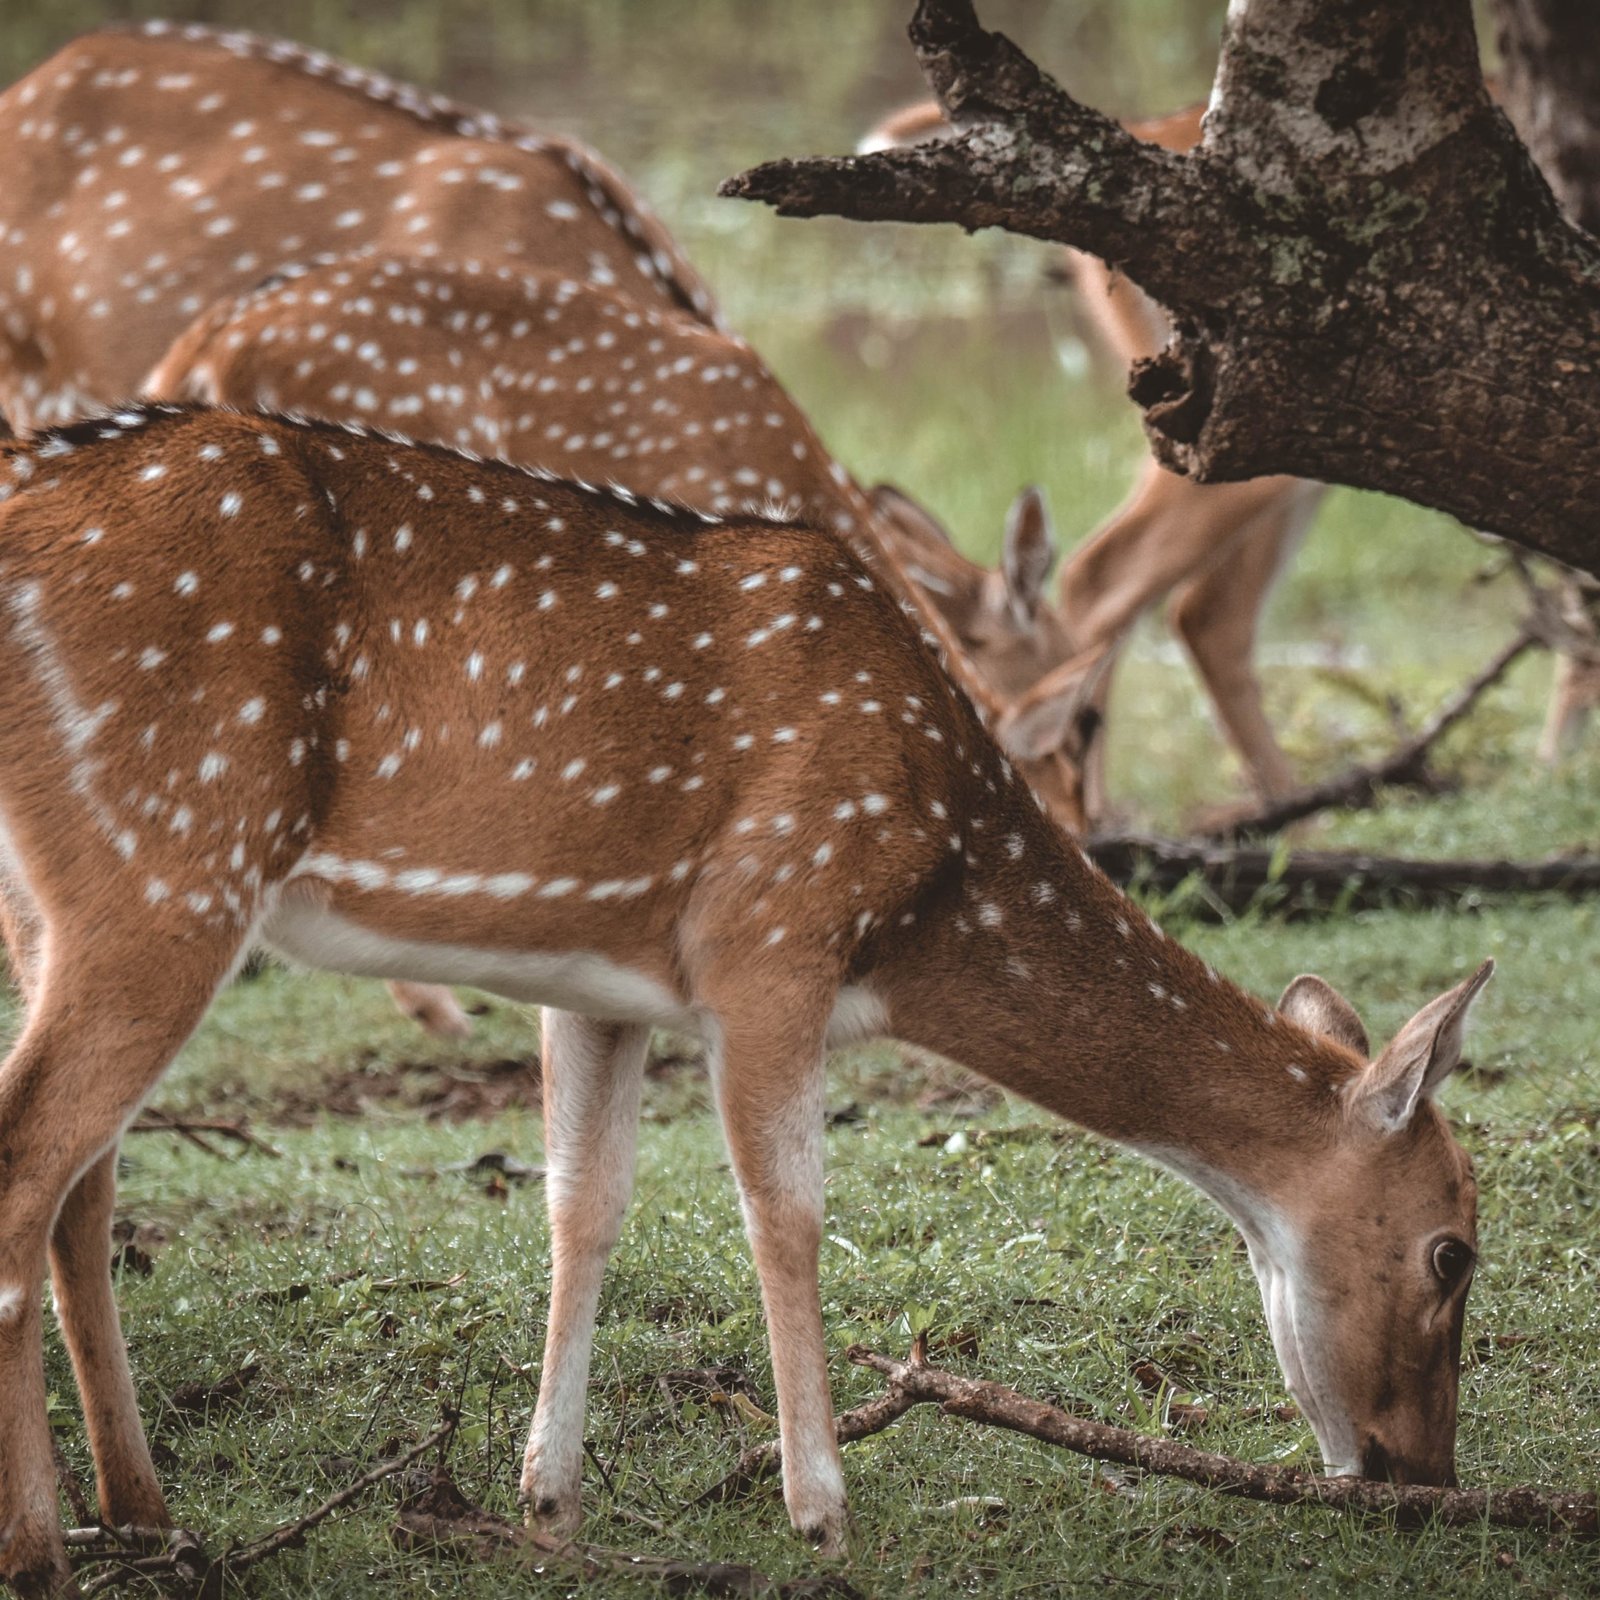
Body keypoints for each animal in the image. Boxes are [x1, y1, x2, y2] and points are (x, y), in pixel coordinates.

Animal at [0, 400, 1491, 1587]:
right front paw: (821, 1511)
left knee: (82, 1183)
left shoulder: (595, 981)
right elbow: (790, 1213)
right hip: (168, 855)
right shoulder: (772, 937)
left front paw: (547, 1504)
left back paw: (141, 1514)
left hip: (57, 900)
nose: (1427, 1477)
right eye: (1452, 1249)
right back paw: (42, 1549)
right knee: (31, 1164)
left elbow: (583, 1207)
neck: (925, 884)